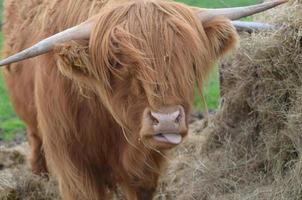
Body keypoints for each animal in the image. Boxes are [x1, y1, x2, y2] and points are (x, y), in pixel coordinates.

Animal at [0, 0, 286, 198]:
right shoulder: (74, 165)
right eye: (116, 62)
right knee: (35, 140)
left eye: (190, 57)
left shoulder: (147, 168)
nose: (167, 120)